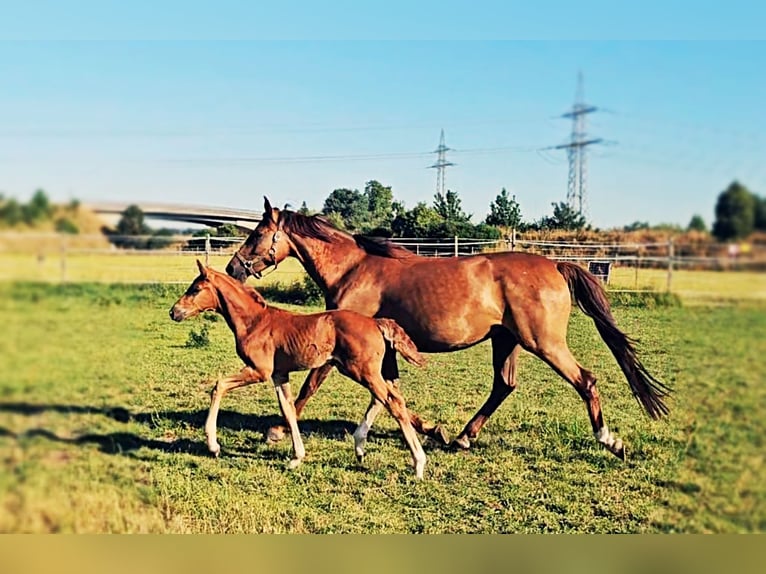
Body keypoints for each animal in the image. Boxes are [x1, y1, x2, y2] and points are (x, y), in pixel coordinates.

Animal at [169, 260, 429, 479]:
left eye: (195, 289)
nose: (174, 312)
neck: (254, 323)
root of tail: (375, 322)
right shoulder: (278, 375)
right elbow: (289, 409)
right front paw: (296, 458)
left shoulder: (259, 371)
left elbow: (219, 385)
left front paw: (213, 445)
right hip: (365, 372)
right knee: (386, 398)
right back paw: (360, 448)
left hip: (362, 371)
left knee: (392, 401)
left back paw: (418, 463)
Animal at [226, 198, 672, 460]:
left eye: (258, 234)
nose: (233, 268)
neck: (354, 269)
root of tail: (556, 265)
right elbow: (392, 393)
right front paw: (433, 430)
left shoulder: (341, 344)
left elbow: (311, 384)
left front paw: (276, 431)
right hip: (506, 341)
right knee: (504, 385)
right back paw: (462, 437)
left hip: (541, 342)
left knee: (585, 380)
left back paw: (610, 440)